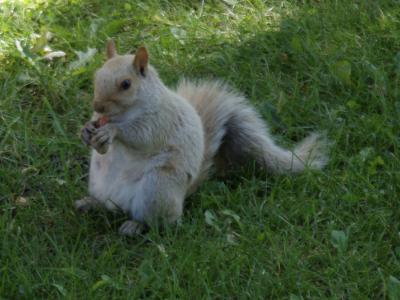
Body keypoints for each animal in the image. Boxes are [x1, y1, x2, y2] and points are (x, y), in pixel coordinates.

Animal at [76, 40, 328, 237]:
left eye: (126, 84)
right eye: (96, 75)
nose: (97, 106)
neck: (122, 114)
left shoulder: (161, 119)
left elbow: (142, 135)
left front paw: (112, 132)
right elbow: (101, 144)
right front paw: (86, 131)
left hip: (156, 190)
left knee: (157, 222)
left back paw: (134, 226)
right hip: (98, 182)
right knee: (107, 206)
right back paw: (89, 203)